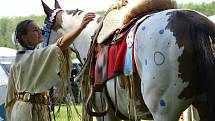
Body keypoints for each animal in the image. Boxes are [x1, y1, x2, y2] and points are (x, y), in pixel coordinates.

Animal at [40, 0, 215, 120]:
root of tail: (193, 21)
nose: (41, 50)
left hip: (163, 112)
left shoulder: (105, 113)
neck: (88, 36)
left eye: (42, 31)